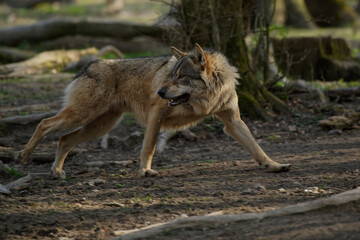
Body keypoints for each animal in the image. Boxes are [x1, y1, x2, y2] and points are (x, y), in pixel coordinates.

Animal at [17, 43, 292, 178]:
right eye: (171, 75)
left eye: (181, 76)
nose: (159, 92)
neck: (207, 97)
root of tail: (90, 65)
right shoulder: (155, 115)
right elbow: (148, 147)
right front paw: (145, 171)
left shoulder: (232, 121)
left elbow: (256, 147)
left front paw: (274, 165)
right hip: (83, 116)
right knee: (44, 123)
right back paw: (23, 155)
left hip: (99, 126)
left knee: (64, 139)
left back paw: (56, 171)